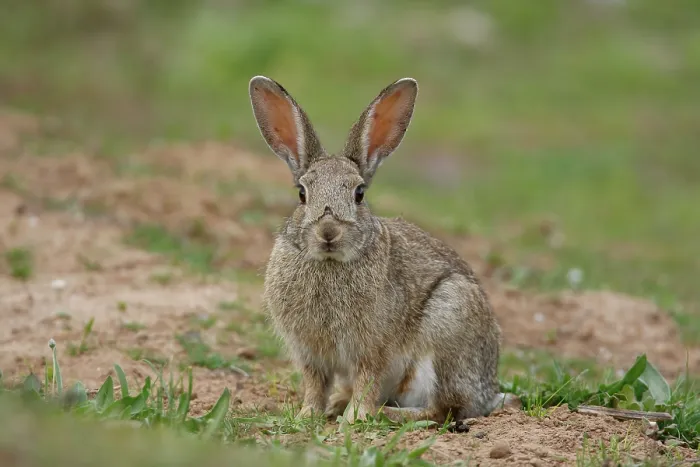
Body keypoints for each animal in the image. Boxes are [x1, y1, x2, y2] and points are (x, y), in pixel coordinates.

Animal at [249, 75, 511, 424]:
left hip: (448, 324)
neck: (330, 262)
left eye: (359, 193)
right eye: (302, 194)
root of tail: (487, 393)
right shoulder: (310, 354)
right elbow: (314, 385)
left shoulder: (373, 350)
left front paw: (355, 418)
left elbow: (367, 381)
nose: (328, 232)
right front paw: (308, 414)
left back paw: (385, 413)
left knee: (442, 409)